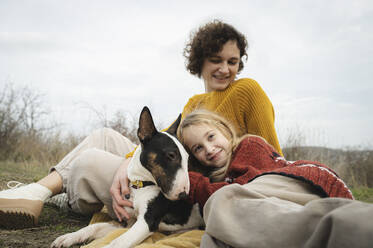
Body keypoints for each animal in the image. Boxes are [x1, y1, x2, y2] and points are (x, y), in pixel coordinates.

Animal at [50, 106, 203, 248]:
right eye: (171, 155)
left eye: (187, 158)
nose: (184, 195)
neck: (140, 185)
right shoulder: (128, 222)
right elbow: (95, 227)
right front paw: (68, 237)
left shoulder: (146, 222)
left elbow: (117, 242)